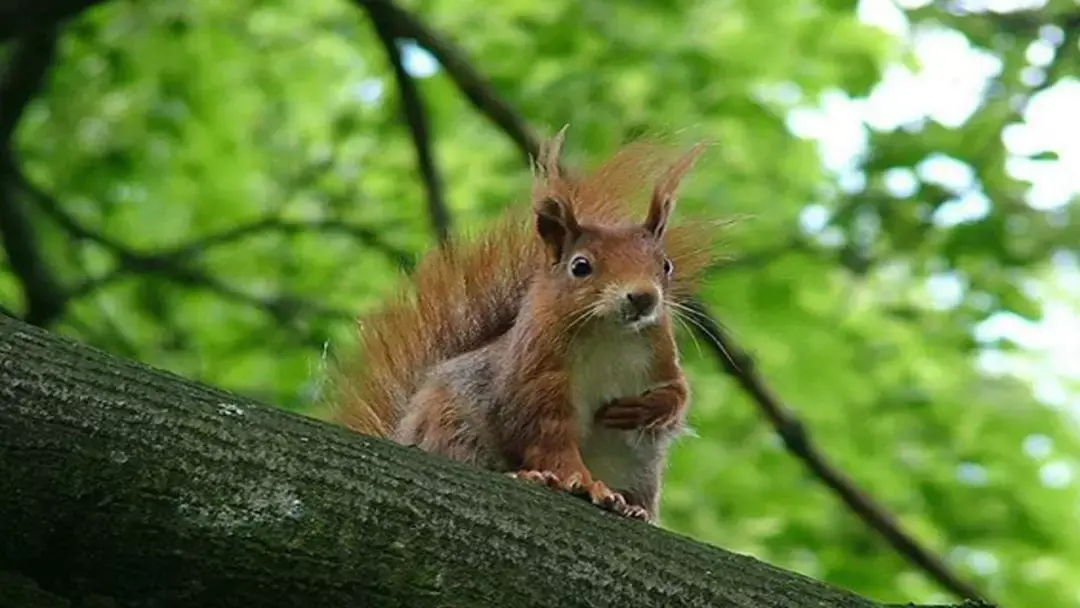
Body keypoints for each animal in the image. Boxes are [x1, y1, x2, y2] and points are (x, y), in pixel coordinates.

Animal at [334, 128, 725, 522]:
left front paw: (646, 409)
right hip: (451, 426)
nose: (644, 298)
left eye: (666, 265)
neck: (610, 335)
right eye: (580, 266)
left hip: (641, 472)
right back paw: (533, 476)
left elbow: (678, 395)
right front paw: (583, 483)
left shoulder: (660, 357)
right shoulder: (535, 377)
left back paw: (633, 509)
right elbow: (548, 438)